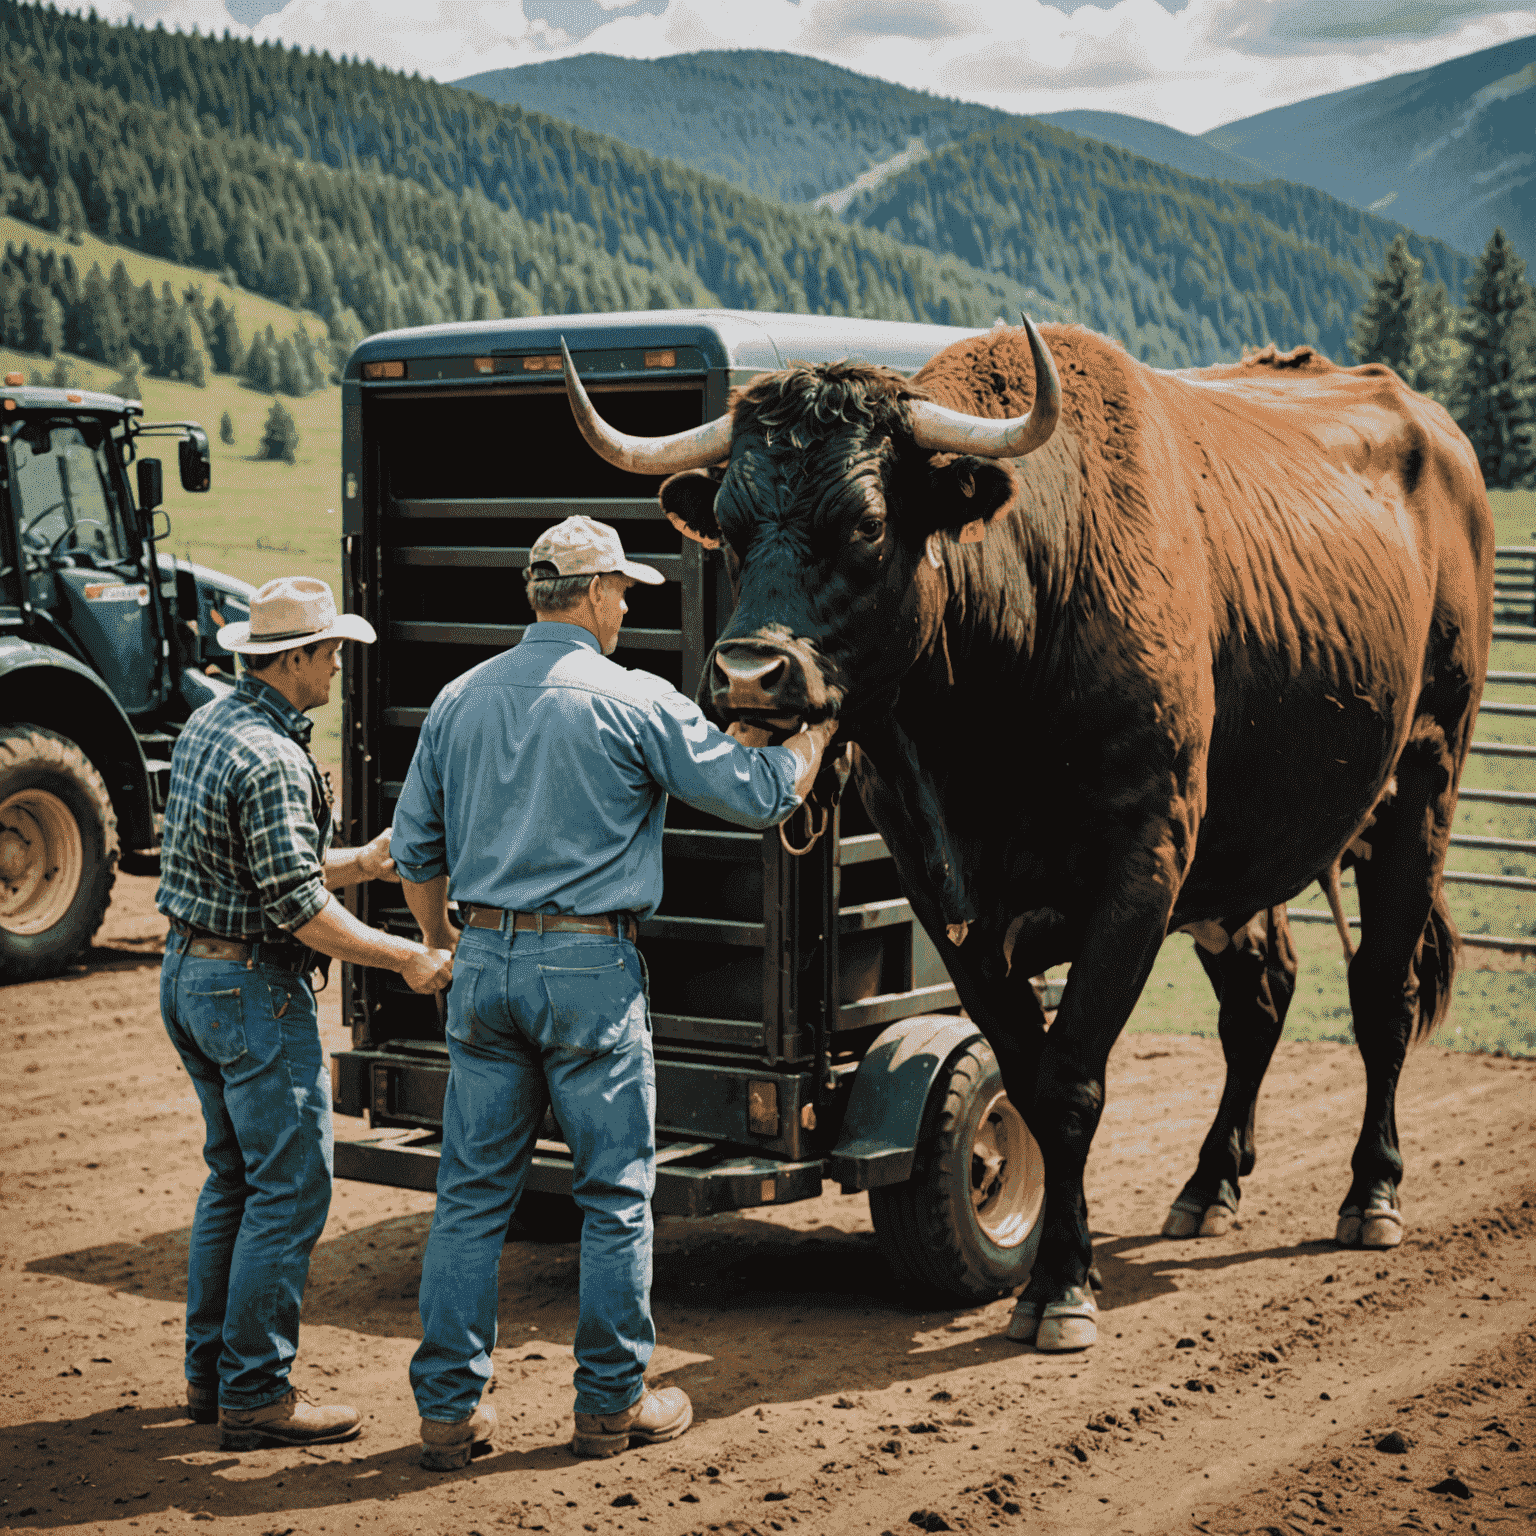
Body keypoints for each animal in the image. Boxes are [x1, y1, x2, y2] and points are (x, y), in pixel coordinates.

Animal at [562, 317, 1486, 1351]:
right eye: (726, 520)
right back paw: (1209, 1185)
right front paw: (1048, 1263)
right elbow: (1027, 1072)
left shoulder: (1141, 871)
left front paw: (1065, 1289)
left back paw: (1372, 1194)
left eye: (868, 522)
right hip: (1247, 853)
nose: (751, 676)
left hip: (1422, 786)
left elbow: (1070, 1082)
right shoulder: (948, 898)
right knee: (1261, 1000)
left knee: (1381, 994)